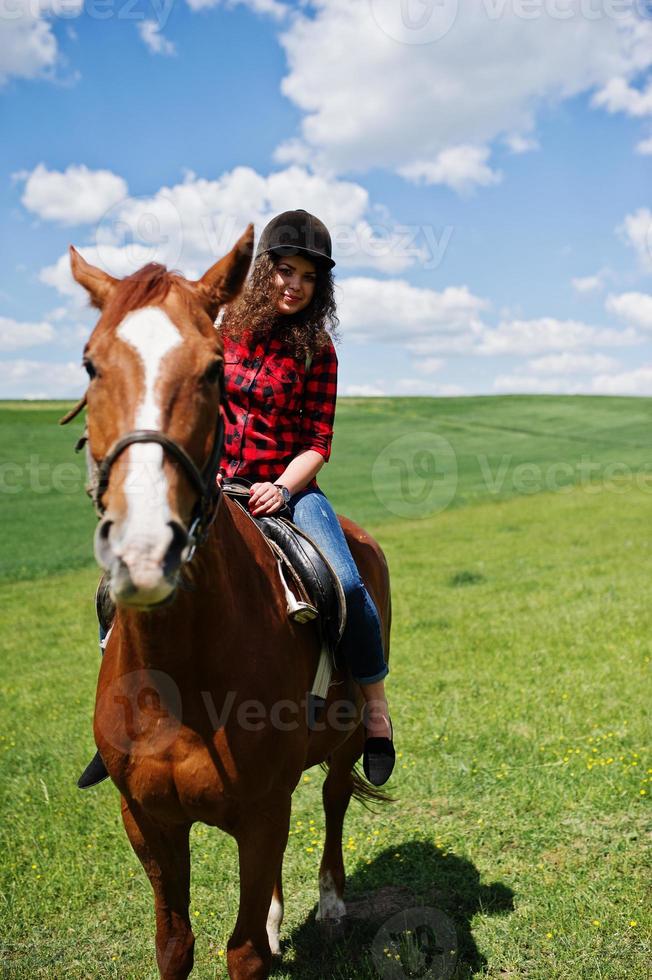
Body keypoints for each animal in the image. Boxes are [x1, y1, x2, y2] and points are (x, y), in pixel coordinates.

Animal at [69, 228, 390, 980]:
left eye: (215, 369)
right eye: (91, 363)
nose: (144, 549)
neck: (179, 677)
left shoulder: (261, 813)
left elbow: (243, 954)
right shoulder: (148, 821)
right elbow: (174, 944)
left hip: (344, 744)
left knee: (334, 800)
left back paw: (331, 902)